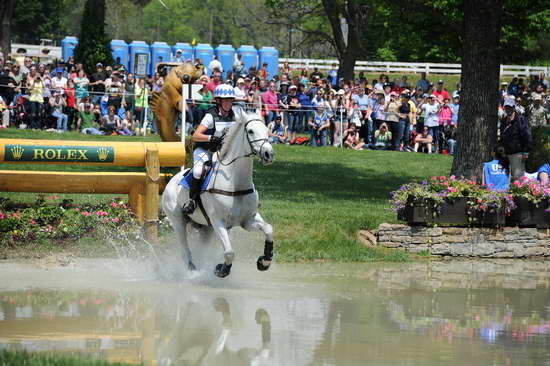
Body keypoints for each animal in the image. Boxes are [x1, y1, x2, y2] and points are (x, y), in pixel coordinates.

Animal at [163, 108, 276, 278]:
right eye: (250, 131)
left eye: (266, 130)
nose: (269, 154)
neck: (236, 183)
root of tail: (170, 182)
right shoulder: (218, 222)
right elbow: (229, 252)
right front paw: (221, 270)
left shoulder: (247, 220)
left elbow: (268, 229)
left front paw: (264, 261)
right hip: (178, 221)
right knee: (185, 250)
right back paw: (193, 273)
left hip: (206, 229)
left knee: (201, 249)